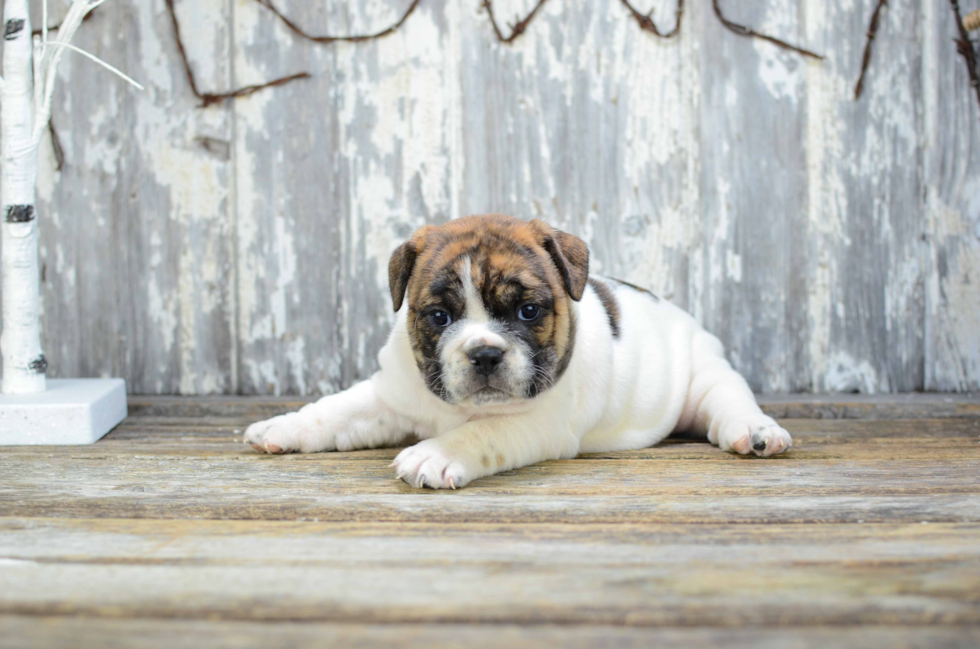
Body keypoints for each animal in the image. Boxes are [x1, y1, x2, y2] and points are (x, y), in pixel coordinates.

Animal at [243, 213, 788, 486]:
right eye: (439, 317)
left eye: (528, 311)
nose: (485, 354)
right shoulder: (388, 397)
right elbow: (334, 410)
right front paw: (282, 427)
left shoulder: (538, 422)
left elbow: (479, 432)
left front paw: (435, 454)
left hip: (707, 373)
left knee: (729, 401)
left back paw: (757, 432)